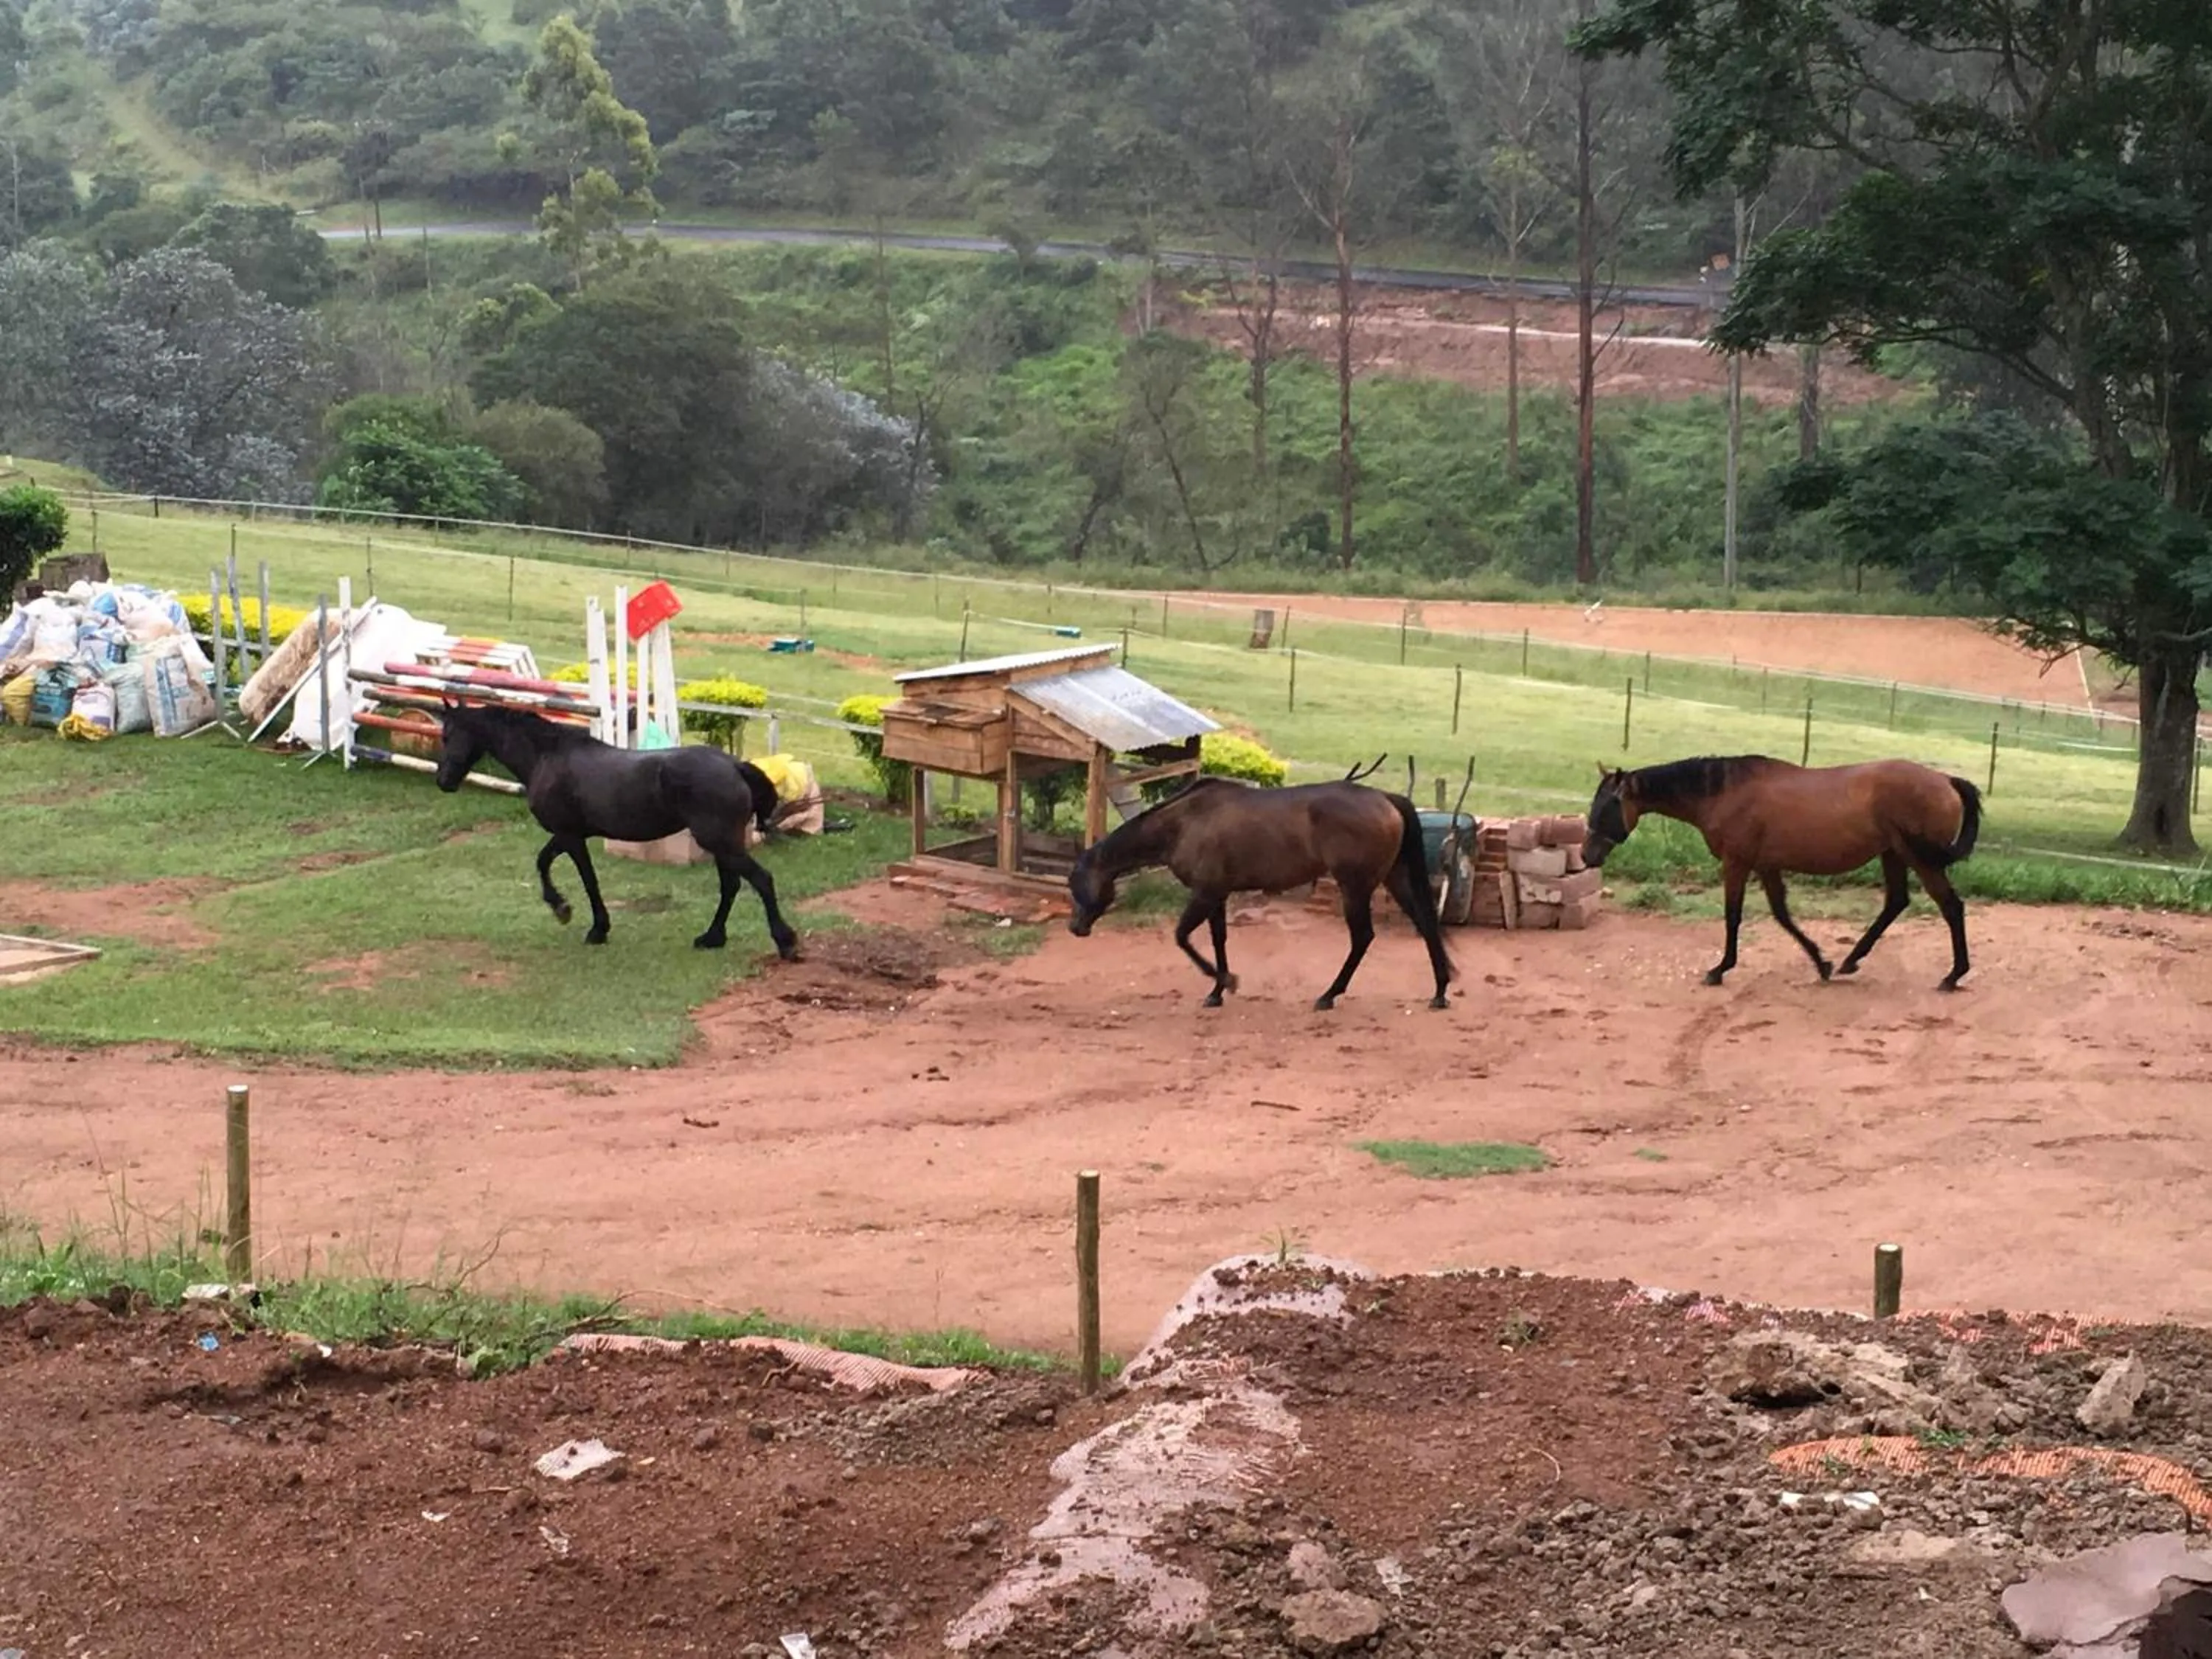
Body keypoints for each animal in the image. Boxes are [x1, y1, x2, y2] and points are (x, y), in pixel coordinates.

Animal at [433, 700, 800, 958]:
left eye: (448, 734)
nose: (443, 781)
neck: (547, 758)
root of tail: (735, 766)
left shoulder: (569, 836)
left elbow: (581, 878)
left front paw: (580, 919)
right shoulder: (570, 835)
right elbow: (553, 865)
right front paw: (572, 914)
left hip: (720, 842)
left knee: (760, 880)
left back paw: (785, 942)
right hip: (723, 844)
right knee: (731, 887)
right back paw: (712, 938)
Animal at [1066, 776, 1456, 1010]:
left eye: (1075, 882)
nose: (1074, 928)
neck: (1184, 823)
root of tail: (1386, 798)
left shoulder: (1205, 893)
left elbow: (1182, 937)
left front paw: (1226, 981)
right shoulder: (1218, 895)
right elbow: (1219, 940)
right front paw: (1217, 992)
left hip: (1355, 886)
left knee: (1363, 937)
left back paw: (1329, 995)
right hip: (1393, 878)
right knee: (1425, 923)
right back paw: (1440, 991)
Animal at [1580, 755, 1982, 990]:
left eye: (1608, 805)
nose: (1586, 854)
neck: (1724, 792)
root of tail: (1946, 780)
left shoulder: (1737, 862)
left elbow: (1733, 916)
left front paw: (1720, 969)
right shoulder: (1767, 866)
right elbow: (1783, 916)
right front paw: (1822, 963)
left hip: (1919, 858)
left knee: (1951, 907)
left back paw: (1953, 975)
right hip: (1893, 855)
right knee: (1896, 902)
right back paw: (1850, 961)